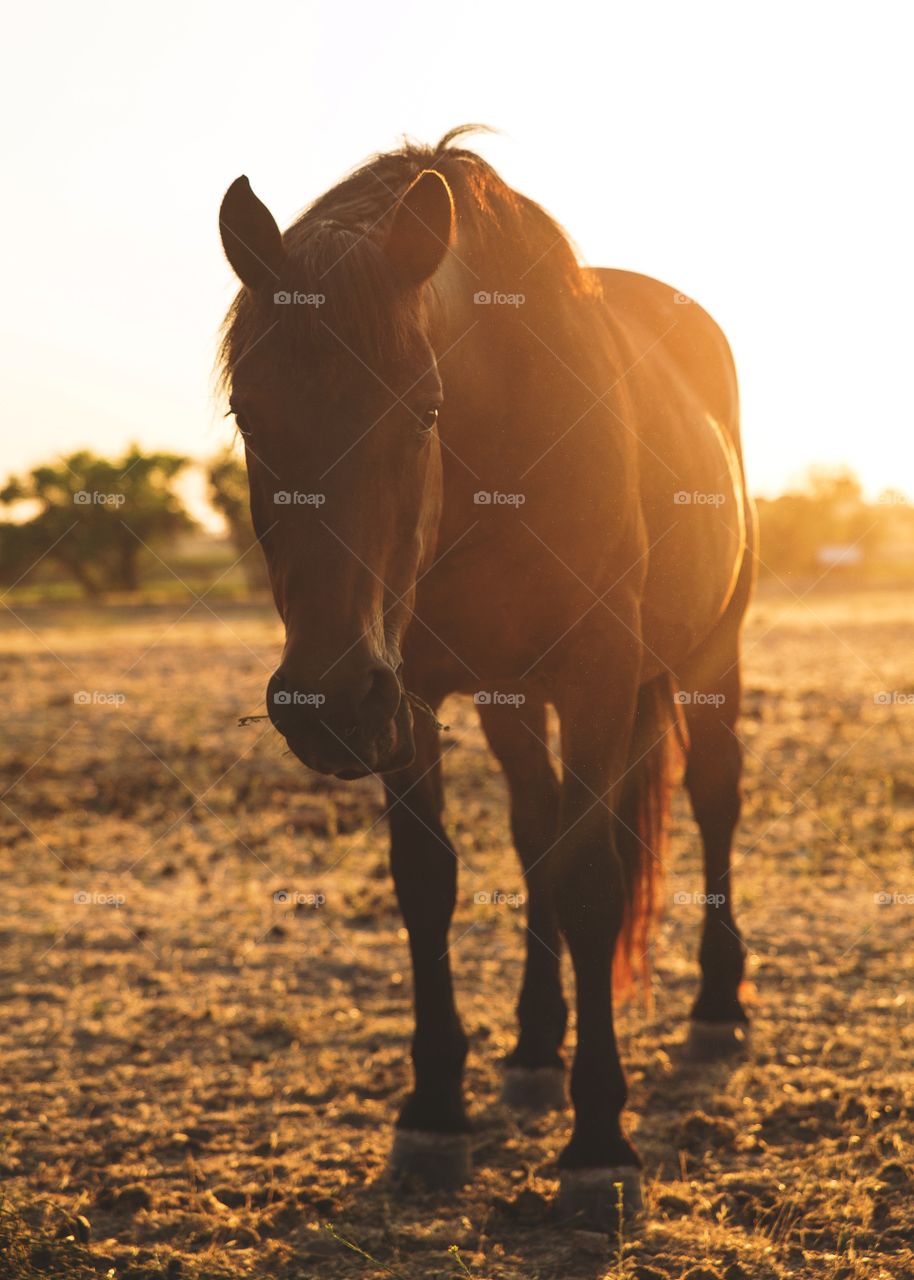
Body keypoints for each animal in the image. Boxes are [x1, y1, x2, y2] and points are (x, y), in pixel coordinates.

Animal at [217, 122, 752, 1228]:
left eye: (425, 409)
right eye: (248, 409)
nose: (325, 705)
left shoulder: (595, 676)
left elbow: (591, 884)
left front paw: (599, 1147)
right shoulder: (408, 693)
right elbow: (432, 882)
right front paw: (433, 1112)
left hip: (707, 655)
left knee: (712, 797)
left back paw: (716, 1006)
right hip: (509, 700)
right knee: (537, 829)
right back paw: (534, 1050)